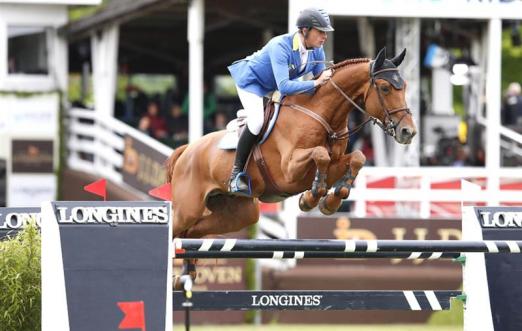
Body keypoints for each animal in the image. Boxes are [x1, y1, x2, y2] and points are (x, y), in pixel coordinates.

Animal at [166, 48, 414, 282]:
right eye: (385, 88)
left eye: (404, 87)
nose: (408, 132)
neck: (323, 115)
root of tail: (186, 150)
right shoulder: (289, 170)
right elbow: (320, 154)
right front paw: (311, 197)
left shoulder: (334, 162)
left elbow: (357, 158)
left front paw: (331, 201)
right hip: (188, 208)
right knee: (178, 228)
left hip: (239, 213)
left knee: (192, 232)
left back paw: (186, 275)